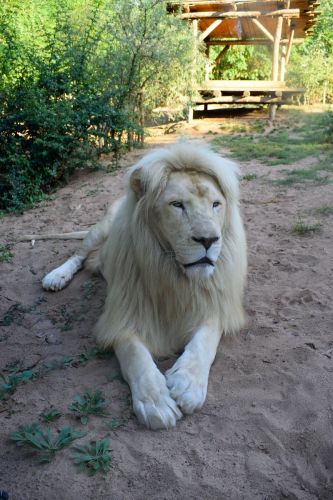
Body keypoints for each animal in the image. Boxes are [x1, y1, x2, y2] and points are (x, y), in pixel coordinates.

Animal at [42, 142, 246, 430]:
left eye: (216, 204)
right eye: (177, 205)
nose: (209, 240)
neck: (174, 274)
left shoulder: (213, 305)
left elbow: (204, 342)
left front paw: (187, 384)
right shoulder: (121, 315)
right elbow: (135, 356)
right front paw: (156, 402)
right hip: (100, 229)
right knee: (78, 254)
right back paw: (56, 277)